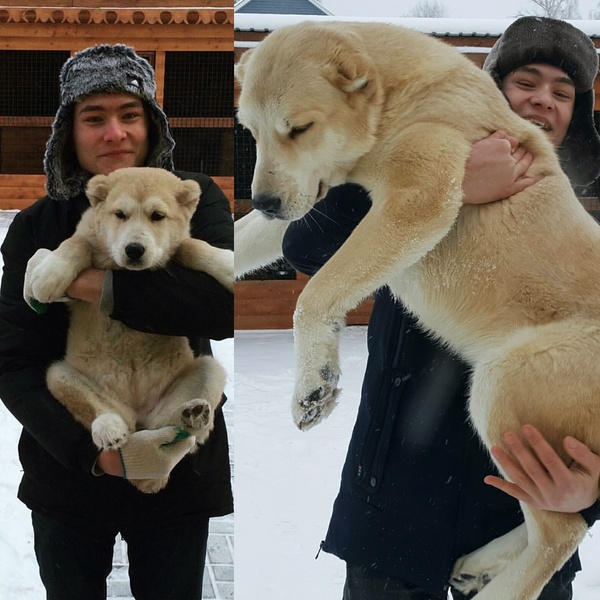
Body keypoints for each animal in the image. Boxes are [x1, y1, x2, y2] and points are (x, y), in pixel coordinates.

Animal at [24, 168, 234, 492]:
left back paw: (190, 418)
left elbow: (190, 245)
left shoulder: (173, 247)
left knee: (174, 432)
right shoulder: (87, 245)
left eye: (158, 216)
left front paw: (226, 263)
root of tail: (137, 414)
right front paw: (49, 273)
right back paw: (110, 428)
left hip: (208, 371)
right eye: (119, 214)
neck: (123, 269)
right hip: (59, 376)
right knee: (95, 408)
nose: (134, 250)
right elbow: (78, 242)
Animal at [236, 18, 600, 600]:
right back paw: (479, 563)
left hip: (506, 381)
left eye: (299, 128)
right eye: (251, 131)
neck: (394, 97)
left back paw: (499, 587)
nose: (265, 202)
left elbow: (314, 294)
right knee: (564, 519)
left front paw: (313, 385)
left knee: (561, 531)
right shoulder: (309, 197)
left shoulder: (418, 196)